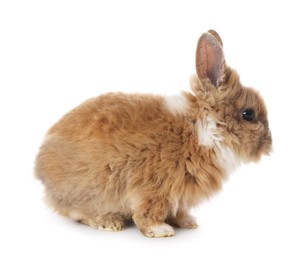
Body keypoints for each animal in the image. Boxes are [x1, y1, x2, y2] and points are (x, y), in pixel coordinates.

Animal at [35, 30, 274, 238]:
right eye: (248, 114)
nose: (269, 144)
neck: (202, 130)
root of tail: (40, 169)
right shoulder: (153, 189)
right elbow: (147, 213)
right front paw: (161, 231)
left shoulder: (178, 196)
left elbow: (177, 211)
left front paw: (188, 222)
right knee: (77, 213)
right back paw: (109, 222)